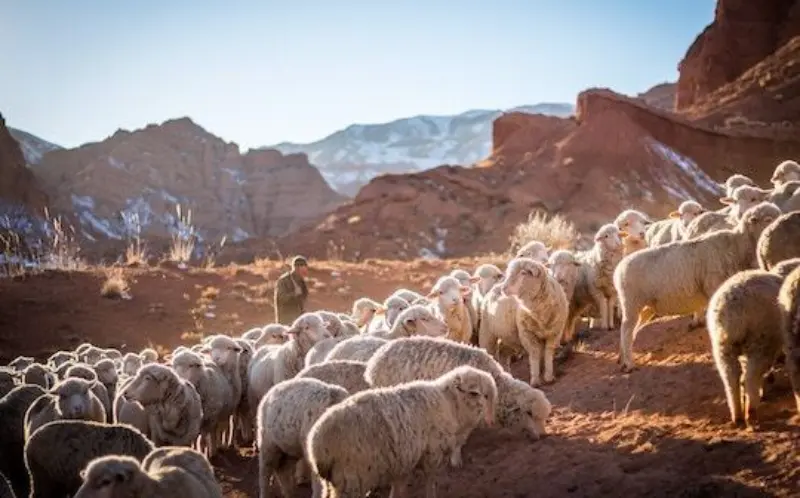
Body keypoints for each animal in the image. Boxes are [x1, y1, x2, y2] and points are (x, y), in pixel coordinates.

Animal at [306, 365, 497, 498]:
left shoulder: (404, 460)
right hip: (351, 478)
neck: (449, 404)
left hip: (336, 481)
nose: (489, 420)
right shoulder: (432, 454)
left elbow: (399, 487)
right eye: (475, 392)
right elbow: (430, 481)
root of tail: (316, 444)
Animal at [615, 202, 783, 372]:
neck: (738, 244)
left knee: (631, 330)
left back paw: (622, 359)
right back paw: (629, 364)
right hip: (632, 302)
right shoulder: (713, 287)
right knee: (626, 330)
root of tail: (619, 268)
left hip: (646, 308)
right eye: (768, 219)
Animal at [706, 270, 785, 428]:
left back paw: (737, 415)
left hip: (723, 348)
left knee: (731, 378)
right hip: (760, 340)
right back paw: (751, 413)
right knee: (751, 377)